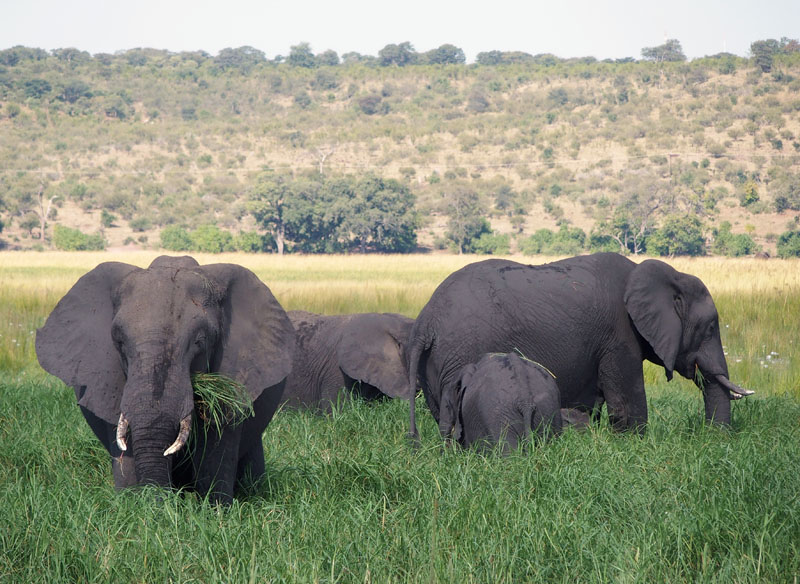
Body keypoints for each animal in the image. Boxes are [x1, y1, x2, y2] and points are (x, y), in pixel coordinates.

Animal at [36, 253, 294, 504]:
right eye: (119, 341)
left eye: (200, 341)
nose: (165, 500)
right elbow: (125, 454)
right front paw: (136, 506)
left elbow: (216, 448)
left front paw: (215, 509)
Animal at [410, 253, 752, 440]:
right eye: (710, 327)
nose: (712, 439)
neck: (667, 274)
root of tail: (425, 322)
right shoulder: (619, 335)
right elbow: (626, 403)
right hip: (459, 352)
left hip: (435, 365)